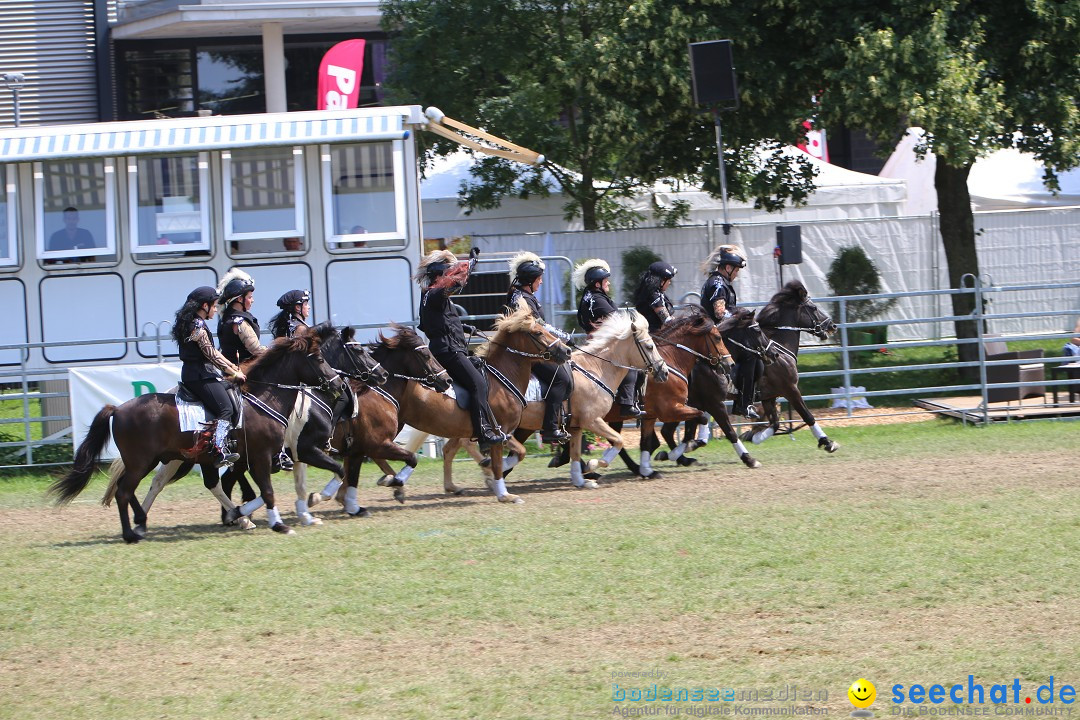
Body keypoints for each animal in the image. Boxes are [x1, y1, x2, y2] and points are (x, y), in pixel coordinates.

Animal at [48, 323, 343, 544]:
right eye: (319, 359)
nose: (339, 383)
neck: (265, 398)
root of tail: (118, 408)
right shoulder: (261, 456)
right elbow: (268, 492)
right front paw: (278, 524)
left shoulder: (271, 457)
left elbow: (267, 490)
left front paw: (240, 513)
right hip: (144, 461)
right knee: (124, 492)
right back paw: (131, 533)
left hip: (152, 460)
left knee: (133, 488)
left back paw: (141, 523)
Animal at [304, 323, 451, 515]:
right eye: (426, 354)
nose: (447, 380)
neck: (378, 395)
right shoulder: (378, 445)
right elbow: (412, 458)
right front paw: (393, 481)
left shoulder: (357, 451)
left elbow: (352, 477)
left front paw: (353, 506)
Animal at [390, 302, 574, 505]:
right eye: (538, 332)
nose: (566, 351)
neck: (503, 377)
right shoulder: (500, 431)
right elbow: (510, 456)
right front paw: (502, 491)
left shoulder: (508, 432)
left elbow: (517, 454)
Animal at [440, 306, 665, 492]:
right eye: (649, 346)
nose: (663, 371)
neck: (596, 371)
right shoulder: (592, 421)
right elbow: (617, 441)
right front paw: (595, 464)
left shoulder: (576, 426)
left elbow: (575, 453)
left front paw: (581, 479)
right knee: (467, 443)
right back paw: (488, 471)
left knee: (450, 448)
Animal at [743, 280, 842, 453]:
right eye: (813, 308)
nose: (832, 326)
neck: (779, 352)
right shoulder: (790, 390)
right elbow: (808, 416)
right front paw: (827, 442)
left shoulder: (769, 397)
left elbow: (774, 424)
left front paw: (751, 436)